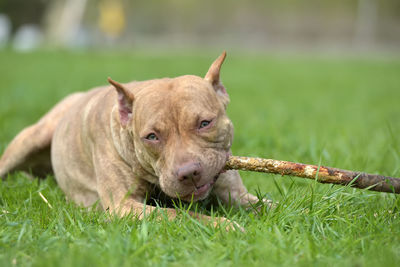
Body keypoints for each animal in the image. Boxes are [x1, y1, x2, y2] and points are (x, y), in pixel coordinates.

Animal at [0, 52, 262, 230]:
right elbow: (177, 214)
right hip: (32, 137)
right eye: (152, 136)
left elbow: (264, 204)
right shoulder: (124, 207)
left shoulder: (236, 195)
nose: (189, 173)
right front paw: (224, 225)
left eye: (205, 123)